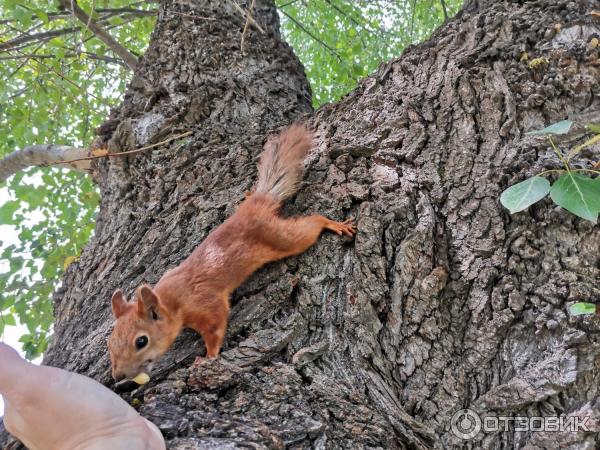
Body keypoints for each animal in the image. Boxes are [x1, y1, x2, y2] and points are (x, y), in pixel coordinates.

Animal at [108, 125, 356, 382]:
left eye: (141, 341)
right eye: (110, 343)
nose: (118, 377)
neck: (172, 300)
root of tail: (257, 205)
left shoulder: (207, 303)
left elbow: (216, 327)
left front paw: (208, 357)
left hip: (284, 237)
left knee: (311, 224)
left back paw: (333, 224)